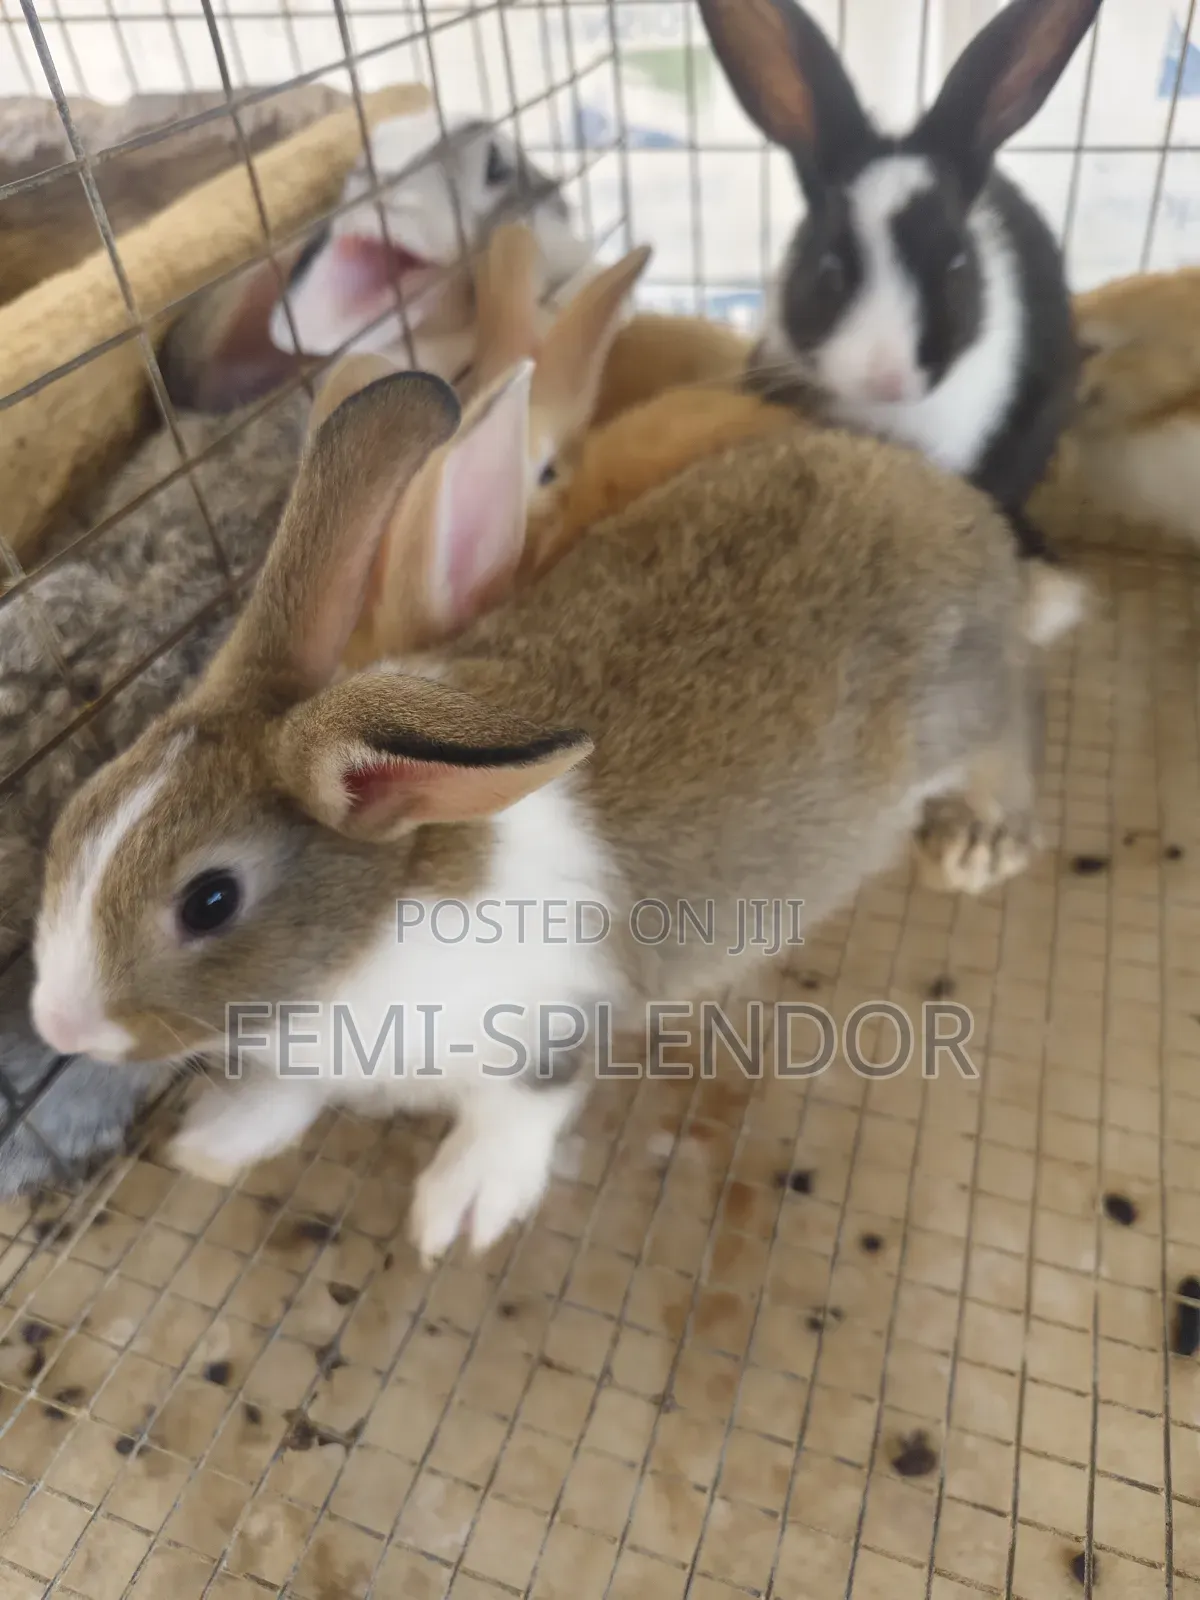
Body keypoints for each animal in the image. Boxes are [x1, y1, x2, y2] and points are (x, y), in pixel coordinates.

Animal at [29, 359, 1084, 1261]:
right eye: (76, 816)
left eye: (209, 901)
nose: (58, 1026)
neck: (370, 929)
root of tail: (975, 524)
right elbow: (290, 1094)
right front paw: (217, 1141)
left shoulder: (554, 1025)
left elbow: (517, 1112)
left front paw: (459, 1211)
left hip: (967, 709)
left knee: (1021, 711)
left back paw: (985, 836)